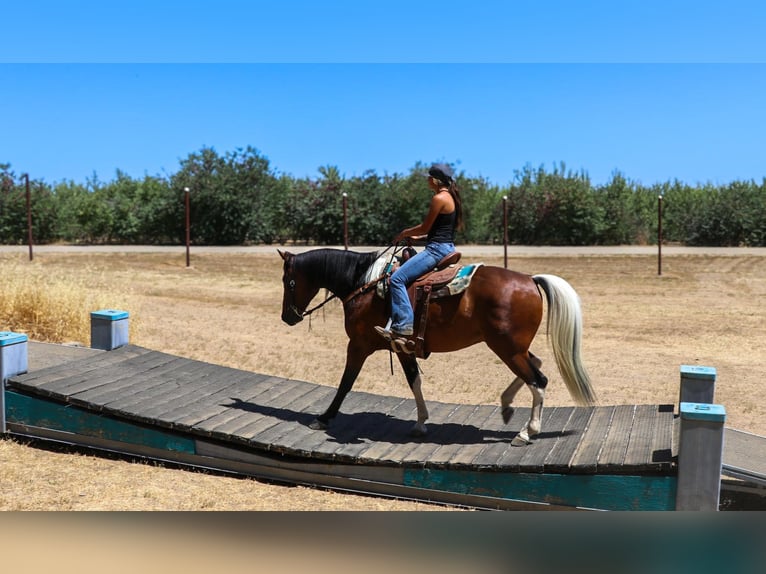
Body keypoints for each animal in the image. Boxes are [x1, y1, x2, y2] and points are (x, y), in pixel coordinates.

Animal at [279, 247, 596, 446]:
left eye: (289, 281)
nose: (287, 317)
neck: (363, 284)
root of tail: (530, 280)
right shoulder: (402, 347)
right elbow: (414, 381)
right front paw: (421, 423)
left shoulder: (357, 345)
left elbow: (345, 383)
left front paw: (323, 418)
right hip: (513, 348)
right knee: (536, 367)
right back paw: (507, 407)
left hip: (507, 349)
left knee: (538, 380)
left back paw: (527, 432)